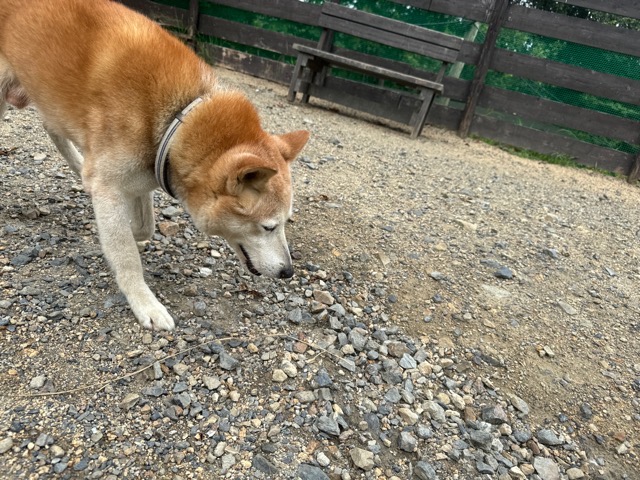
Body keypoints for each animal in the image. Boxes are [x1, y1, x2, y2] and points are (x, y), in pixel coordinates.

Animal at [0, 0, 309, 330]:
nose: (288, 272)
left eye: (285, 223)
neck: (179, 117)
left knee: (53, 130)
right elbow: (125, 255)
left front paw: (124, 236)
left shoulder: (142, 175)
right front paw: (144, 302)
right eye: (268, 227)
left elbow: (143, 227)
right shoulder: (109, 185)